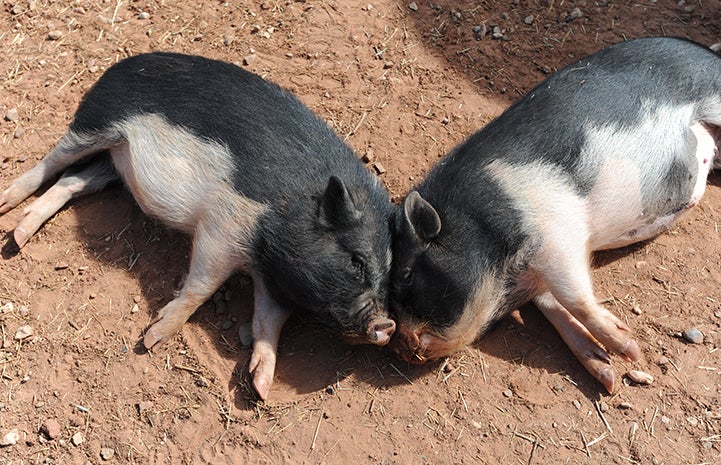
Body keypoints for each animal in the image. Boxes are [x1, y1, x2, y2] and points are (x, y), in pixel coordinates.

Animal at [0, 51, 394, 398]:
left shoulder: (270, 274)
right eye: (356, 260)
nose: (385, 325)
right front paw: (151, 339)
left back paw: (18, 237)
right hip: (95, 122)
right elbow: (202, 285)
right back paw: (7, 208)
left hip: (113, 161)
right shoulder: (223, 223)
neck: (285, 214)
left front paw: (261, 389)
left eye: (388, 278)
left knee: (71, 181)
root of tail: (125, 62)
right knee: (54, 161)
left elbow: (270, 321)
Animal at [390, 37, 720, 392]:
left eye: (407, 275)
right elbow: (554, 305)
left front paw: (629, 349)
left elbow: (573, 295)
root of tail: (710, 54)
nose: (402, 346)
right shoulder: (541, 270)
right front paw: (605, 375)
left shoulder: (557, 230)